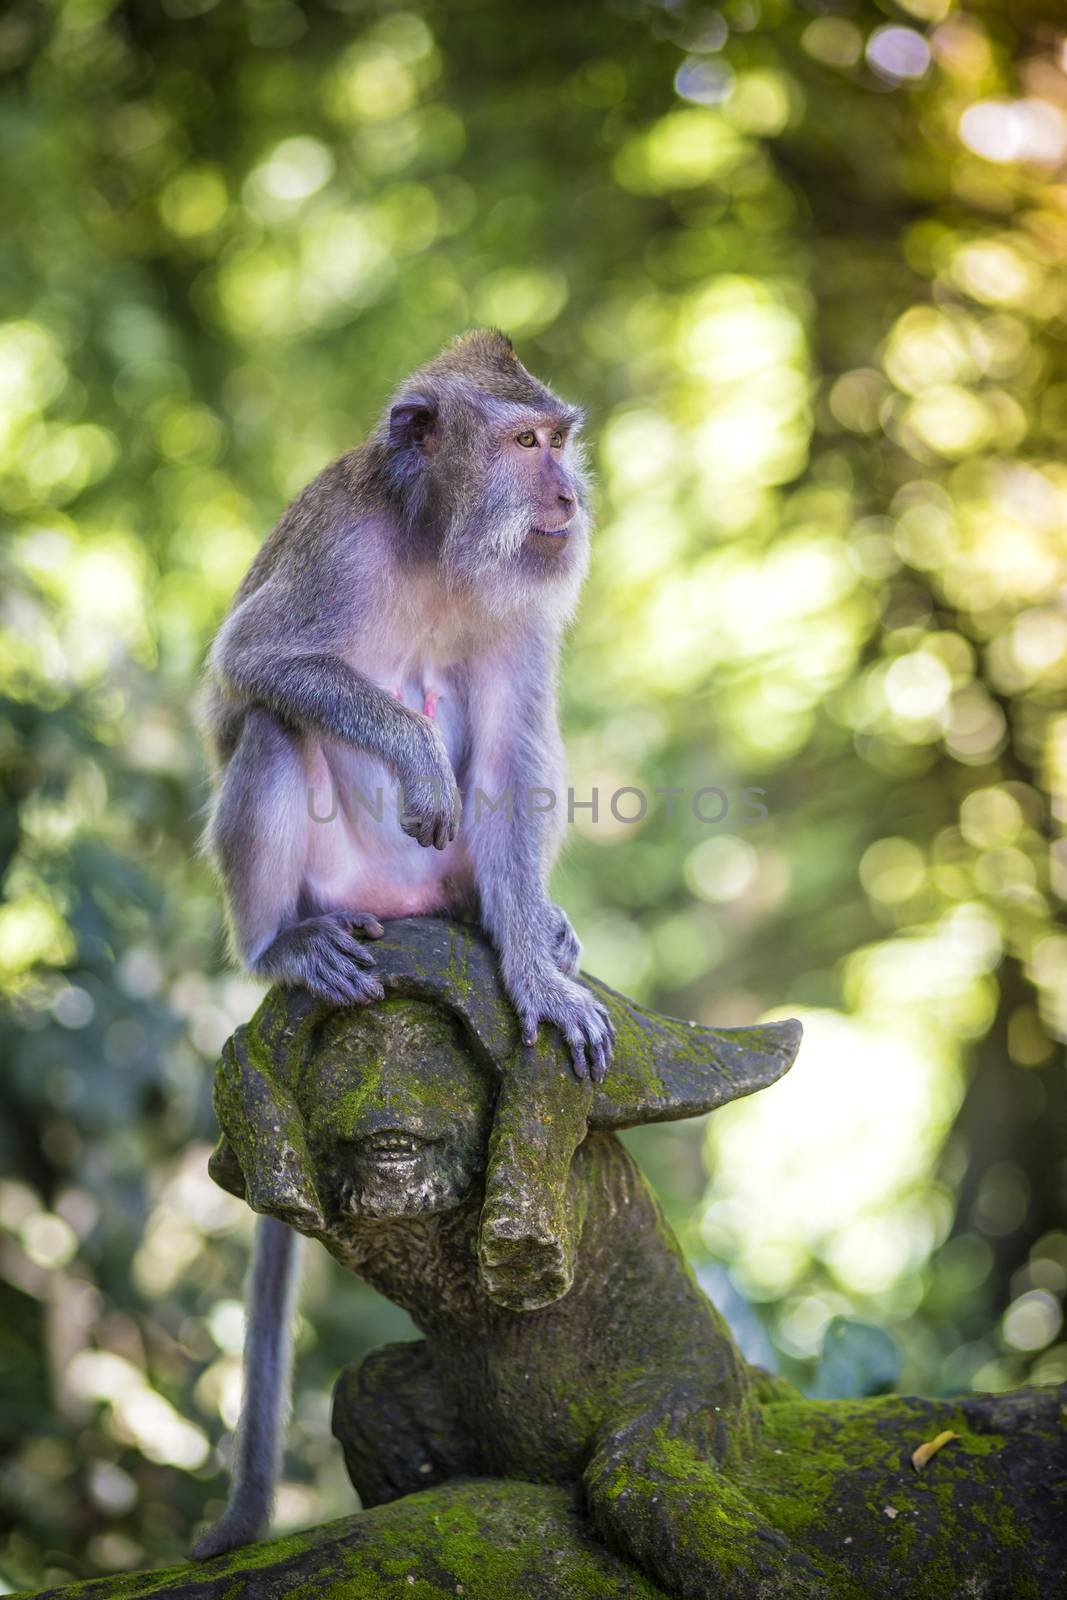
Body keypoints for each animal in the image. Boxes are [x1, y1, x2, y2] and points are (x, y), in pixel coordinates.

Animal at [187, 331, 614, 1555]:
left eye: (556, 440)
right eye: (523, 444)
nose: (568, 496)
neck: (435, 548)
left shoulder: (523, 604)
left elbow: (514, 752)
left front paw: (531, 971)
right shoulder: (333, 552)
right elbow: (253, 664)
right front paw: (415, 759)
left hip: (438, 880)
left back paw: (517, 923)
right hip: (339, 884)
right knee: (273, 727)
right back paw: (281, 946)